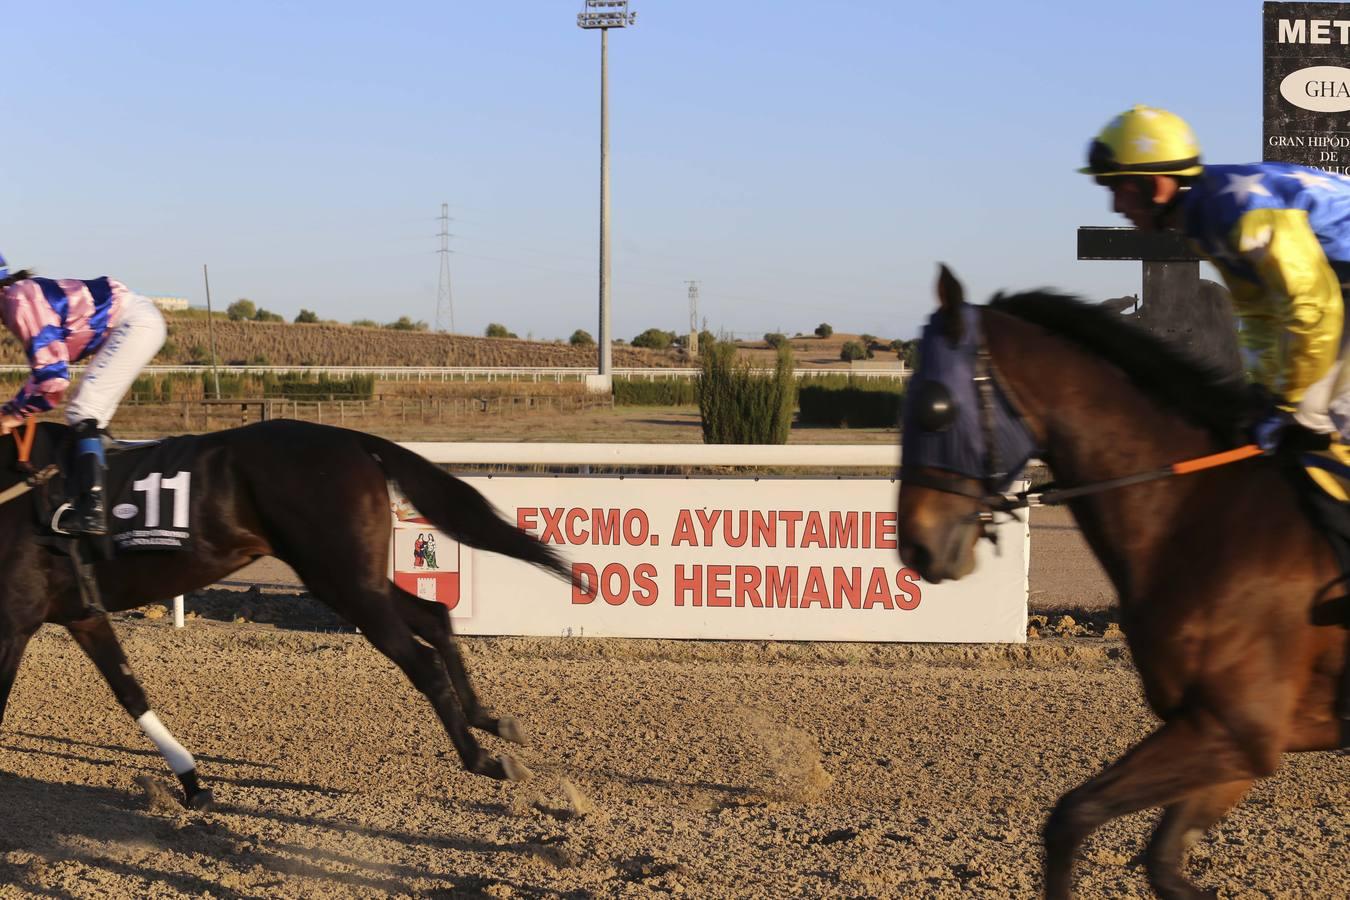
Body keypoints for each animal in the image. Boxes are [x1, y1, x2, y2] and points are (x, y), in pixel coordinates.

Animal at [0, 423, 575, 809]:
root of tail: (353, 440)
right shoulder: (81, 616)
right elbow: (130, 692)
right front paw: (192, 784)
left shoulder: (15, 620)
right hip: (351, 579)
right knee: (434, 614)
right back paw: (492, 720)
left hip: (342, 581)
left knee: (425, 662)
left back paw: (484, 759)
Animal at [891, 267, 1344, 900]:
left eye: (935, 406)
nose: (916, 545)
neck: (1199, 513)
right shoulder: (1224, 739)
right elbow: (1159, 858)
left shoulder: (1236, 729)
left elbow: (1072, 816)